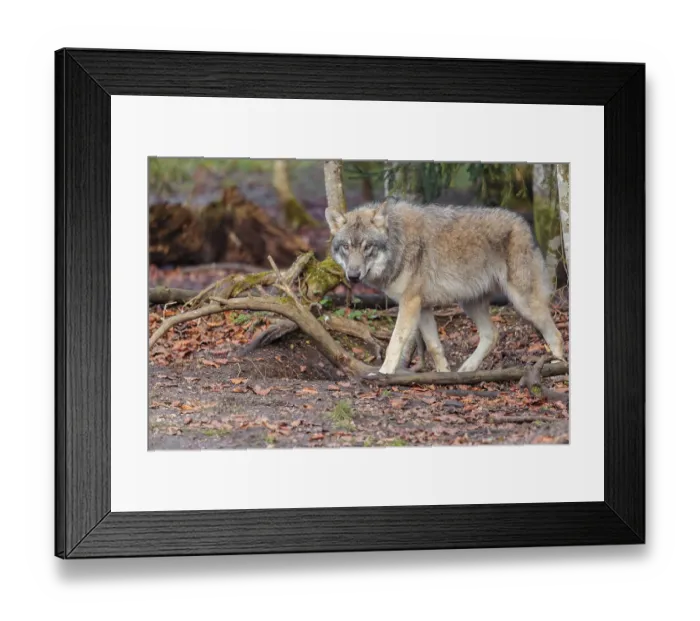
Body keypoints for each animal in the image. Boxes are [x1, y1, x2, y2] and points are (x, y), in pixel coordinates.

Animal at [326, 199, 565, 375]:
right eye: (346, 247)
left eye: (367, 247)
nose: (353, 276)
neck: (398, 242)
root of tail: (524, 224)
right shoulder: (422, 307)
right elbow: (435, 346)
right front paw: (443, 374)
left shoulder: (409, 304)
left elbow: (395, 341)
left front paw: (384, 372)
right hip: (470, 304)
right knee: (492, 334)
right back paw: (468, 368)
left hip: (524, 303)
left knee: (555, 333)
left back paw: (557, 366)